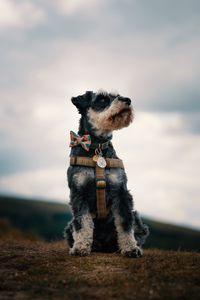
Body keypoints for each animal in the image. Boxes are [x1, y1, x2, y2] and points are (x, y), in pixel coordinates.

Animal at [64, 90, 148, 256]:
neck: (97, 148)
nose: (127, 100)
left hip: (138, 219)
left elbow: (125, 223)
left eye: (117, 95)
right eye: (102, 99)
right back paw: (93, 245)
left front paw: (130, 248)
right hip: (69, 226)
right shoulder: (79, 193)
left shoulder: (121, 192)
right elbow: (83, 222)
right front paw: (80, 247)